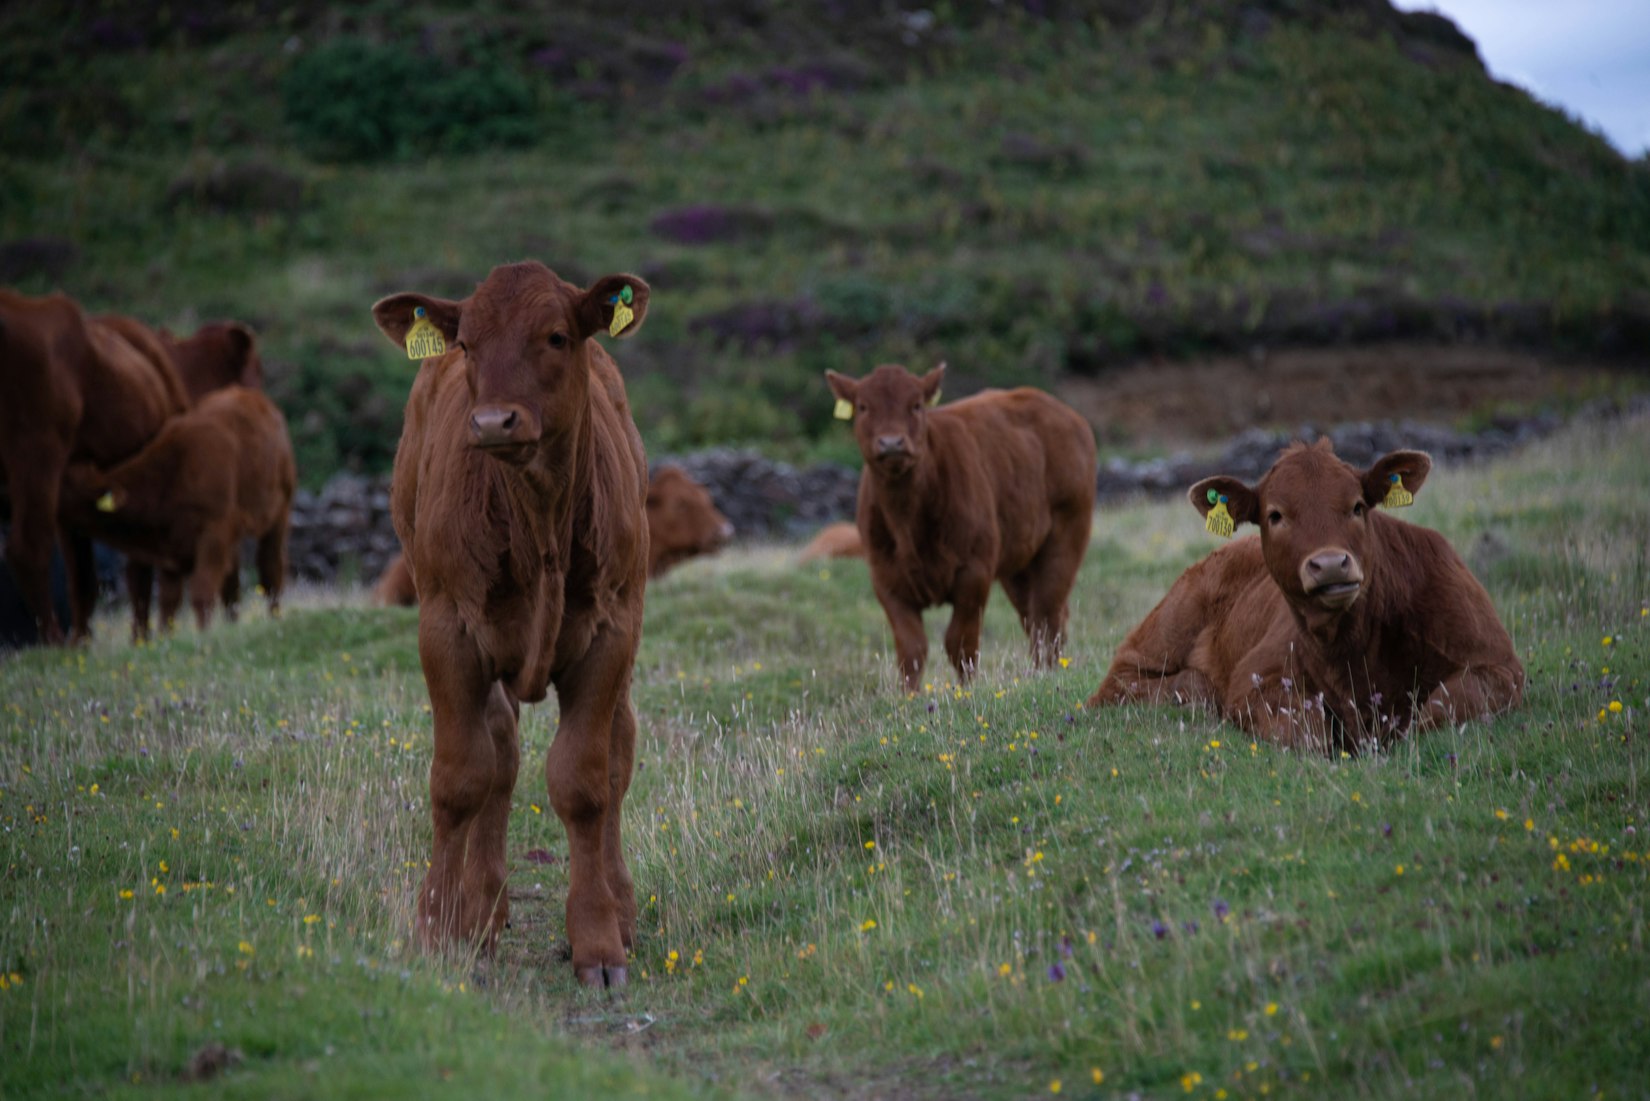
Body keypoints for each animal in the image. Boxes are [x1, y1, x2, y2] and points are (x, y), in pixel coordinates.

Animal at [374, 260, 650, 990]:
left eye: (556, 336)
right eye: (467, 344)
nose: (494, 421)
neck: (538, 525)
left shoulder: (610, 636)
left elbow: (584, 782)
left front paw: (598, 939)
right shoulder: (446, 631)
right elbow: (461, 777)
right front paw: (439, 925)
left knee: (619, 751)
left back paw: (622, 905)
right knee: (500, 753)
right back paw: (484, 909)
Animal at [821, 361, 1095, 689]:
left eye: (916, 405)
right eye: (863, 406)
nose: (892, 443)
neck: (907, 523)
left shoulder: (973, 571)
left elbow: (960, 642)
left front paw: (967, 691)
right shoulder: (885, 578)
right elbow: (911, 648)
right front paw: (909, 695)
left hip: (1067, 532)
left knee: (1046, 615)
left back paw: (1047, 674)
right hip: (1017, 562)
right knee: (1037, 617)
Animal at [1089, 435, 1524, 749]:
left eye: (1358, 506)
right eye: (1275, 514)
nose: (1330, 563)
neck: (1352, 653)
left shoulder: (1501, 666)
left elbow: (1440, 708)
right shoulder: (1255, 680)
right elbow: (1305, 729)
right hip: (1162, 631)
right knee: (1125, 685)